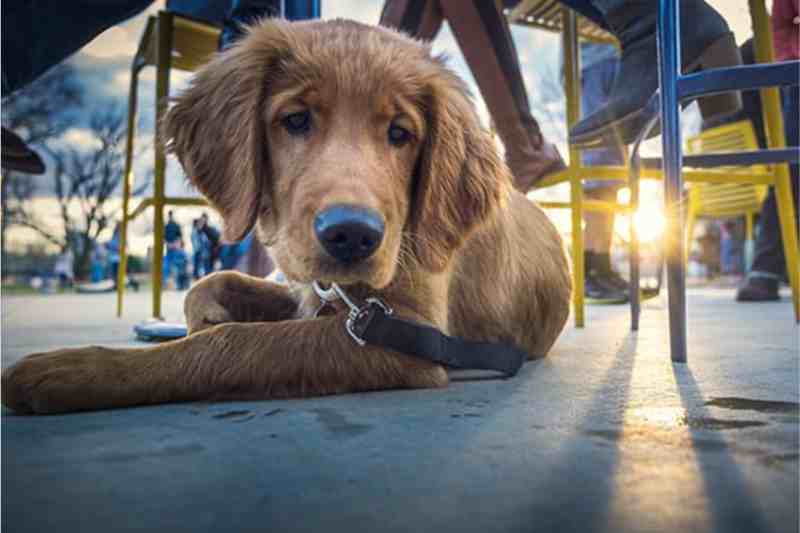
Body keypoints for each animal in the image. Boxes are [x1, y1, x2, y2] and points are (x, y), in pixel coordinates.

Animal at [3, 18, 572, 414]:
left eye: (401, 134)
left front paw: (77, 369)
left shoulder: (407, 332)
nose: (352, 236)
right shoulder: (313, 288)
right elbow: (211, 283)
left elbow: (235, 345)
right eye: (295, 120)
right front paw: (206, 315)